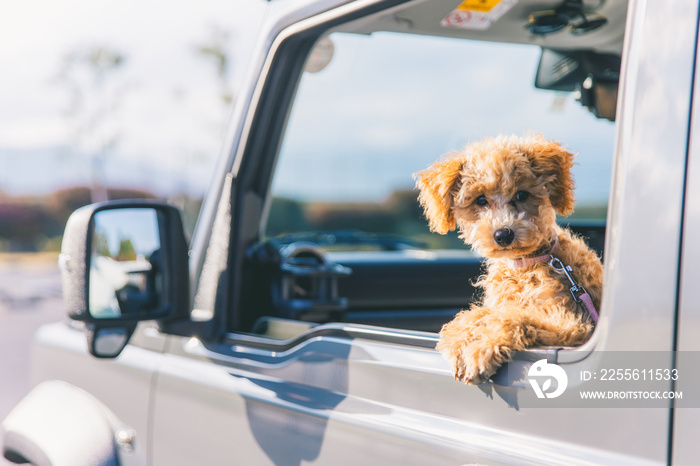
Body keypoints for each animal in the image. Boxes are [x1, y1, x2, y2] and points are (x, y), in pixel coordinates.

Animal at [416, 133, 600, 384]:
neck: (524, 266)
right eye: (480, 200)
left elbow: (513, 318)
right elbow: (478, 314)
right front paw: (458, 338)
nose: (503, 234)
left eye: (522, 195)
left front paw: (480, 349)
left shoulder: (571, 324)